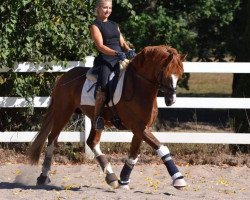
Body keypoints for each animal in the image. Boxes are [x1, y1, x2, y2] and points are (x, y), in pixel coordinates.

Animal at [28, 45, 187, 189]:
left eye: (180, 75)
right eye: (167, 74)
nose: (171, 101)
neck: (139, 87)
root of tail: (63, 76)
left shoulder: (141, 129)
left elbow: (133, 155)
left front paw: (124, 181)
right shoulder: (139, 128)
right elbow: (162, 148)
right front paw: (178, 179)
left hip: (96, 119)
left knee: (92, 142)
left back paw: (111, 178)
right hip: (63, 112)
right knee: (51, 138)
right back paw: (43, 176)